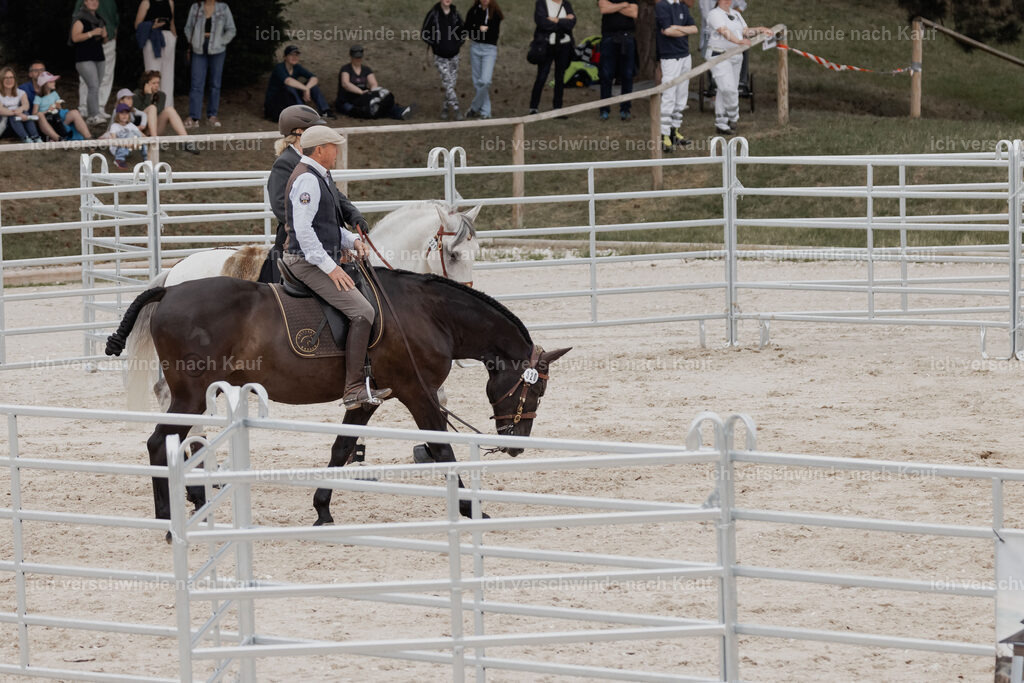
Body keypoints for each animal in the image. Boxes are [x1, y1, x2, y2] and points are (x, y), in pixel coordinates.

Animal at [104, 269, 570, 525]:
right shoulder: (417, 392)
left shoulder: (365, 398)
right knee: (158, 443)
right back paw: (170, 514)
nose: (516, 443)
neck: (427, 313)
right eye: (537, 386)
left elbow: (342, 448)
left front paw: (322, 507)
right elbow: (442, 450)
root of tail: (170, 290)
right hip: (191, 395)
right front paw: (473, 508)